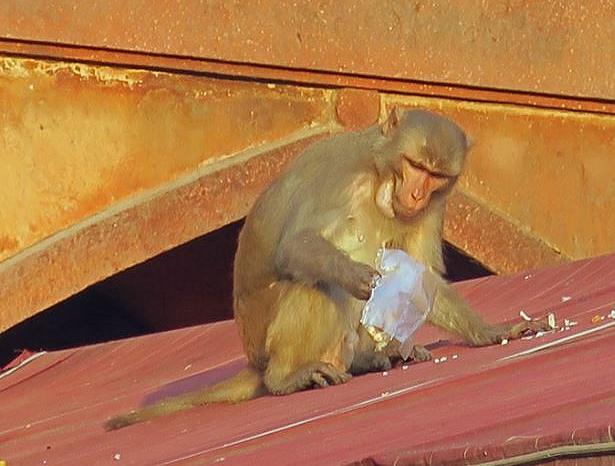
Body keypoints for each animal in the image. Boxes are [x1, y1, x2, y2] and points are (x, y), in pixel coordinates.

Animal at [106, 108, 548, 430]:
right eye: (414, 164)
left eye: (436, 174)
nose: (416, 194)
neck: (379, 177)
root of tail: (254, 360)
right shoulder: (340, 176)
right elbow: (297, 247)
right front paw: (356, 275)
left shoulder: (434, 207)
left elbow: (420, 278)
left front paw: (491, 331)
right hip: (271, 341)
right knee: (314, 284)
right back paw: (287, 377)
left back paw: (372, 358)